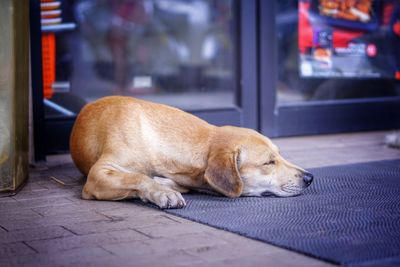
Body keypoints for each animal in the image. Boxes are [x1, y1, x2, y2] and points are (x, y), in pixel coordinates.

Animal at [70, 96, 312, 209]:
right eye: (269, 163)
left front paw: (166, 184)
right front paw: (161, 192)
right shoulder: (98, 175)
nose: (310, 177)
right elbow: (137, 177)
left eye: (279, 155)